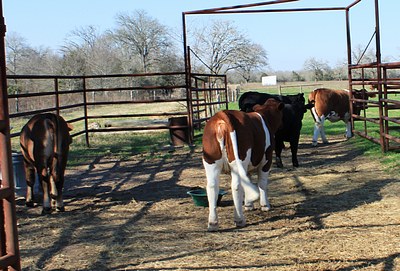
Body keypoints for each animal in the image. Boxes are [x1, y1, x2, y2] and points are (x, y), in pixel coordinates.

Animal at [202, 99, 282, 232]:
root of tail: (221, 115)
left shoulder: (247, 168)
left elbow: (248, 181)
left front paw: (249, 205)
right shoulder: (267, 160)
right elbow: (262, 183)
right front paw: (265, 205)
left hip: (210, 161)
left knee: (212, 186)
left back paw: (213, 223)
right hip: (238, 161)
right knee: (236, 186)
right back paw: (239, 220)